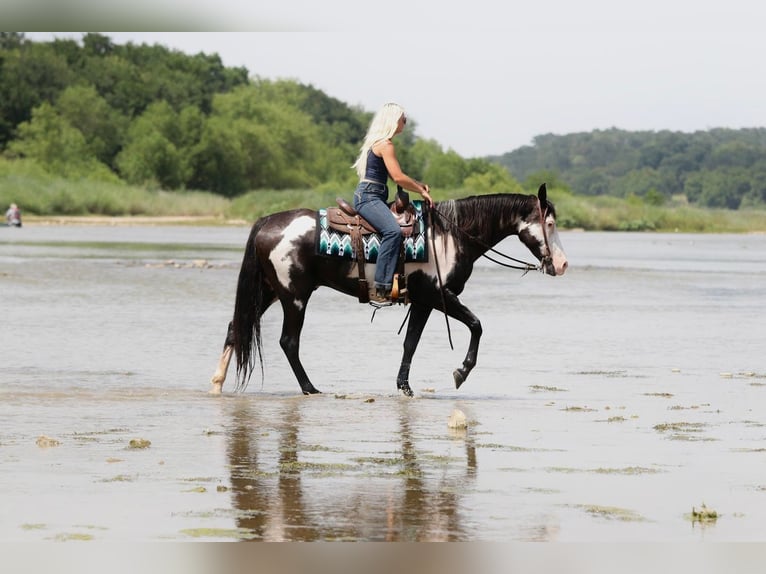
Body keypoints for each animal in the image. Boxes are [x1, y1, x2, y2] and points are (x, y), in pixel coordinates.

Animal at [210, 183, 568, 397]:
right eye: (549, 224)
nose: (562, 264)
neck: (450, 236)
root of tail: (267, 222)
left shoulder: (423, 302)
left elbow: (411, 342)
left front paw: (404, 386)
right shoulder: (437, 296)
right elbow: (476, 325)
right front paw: (461, 372)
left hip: (270, 291)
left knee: (235, 328)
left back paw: (217, 383)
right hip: (294, 297)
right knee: (288, 342)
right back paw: (310, 388)